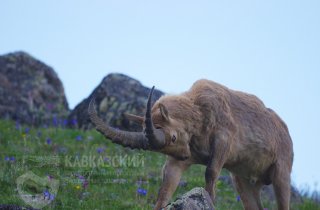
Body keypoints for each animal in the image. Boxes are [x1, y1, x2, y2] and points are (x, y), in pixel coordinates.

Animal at [89, 79, 294, 210]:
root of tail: (286, 131)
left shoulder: (223, 140)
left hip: (281, 173)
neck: (198, 110)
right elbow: (167, 185)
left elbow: (210, 172)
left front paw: (210, 200)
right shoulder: (180, 160)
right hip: (244, 181)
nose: (184, 156)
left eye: (172, 137)